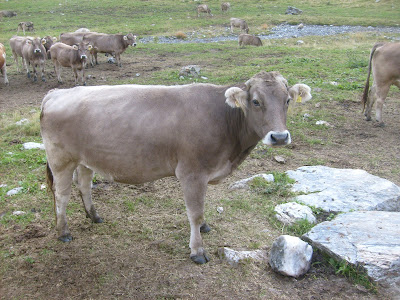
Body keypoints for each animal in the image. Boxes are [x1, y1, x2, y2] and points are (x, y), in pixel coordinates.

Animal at [40, 71, 296, 264]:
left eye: (288, 101)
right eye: (256, 101)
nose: (280, 137)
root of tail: (56, 93)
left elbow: (202, 208)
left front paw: (205, 227)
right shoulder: (192, 173)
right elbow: (195, 212)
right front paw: (198, 250)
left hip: (86, 159)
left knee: (84, 185)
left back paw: (93, 216)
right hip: (61, 160)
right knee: (61, 195)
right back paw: (63, 231)